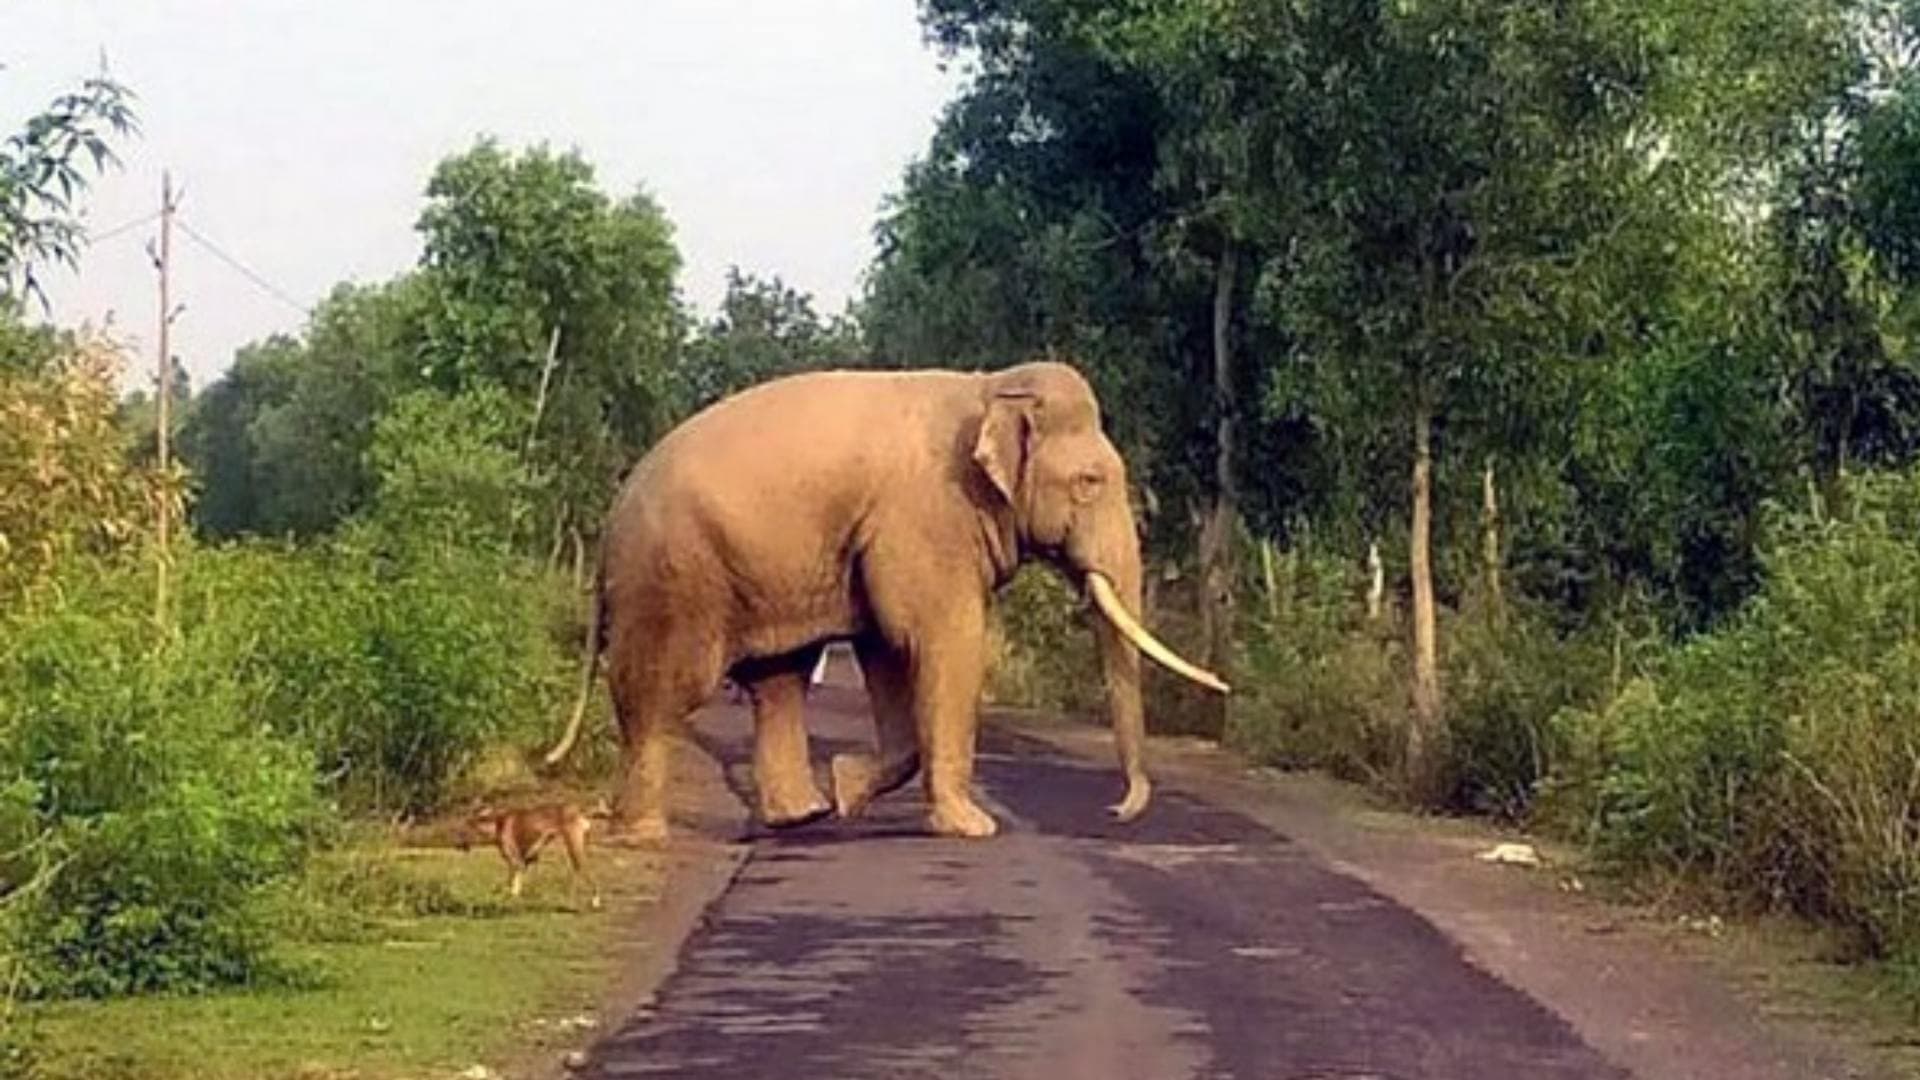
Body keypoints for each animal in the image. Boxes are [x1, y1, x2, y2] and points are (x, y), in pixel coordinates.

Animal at [543, 360, 1227, 841]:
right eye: (1090, 481)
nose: (1116, 811)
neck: (991, 388)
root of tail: (610, 521)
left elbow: (889, 649)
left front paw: (847, 788)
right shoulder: (929, 516)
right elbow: (941, 638)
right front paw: (972, 828)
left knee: (778, 680)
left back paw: (803, 815)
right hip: (673, 578)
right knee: (664, 691)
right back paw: (643, 834)